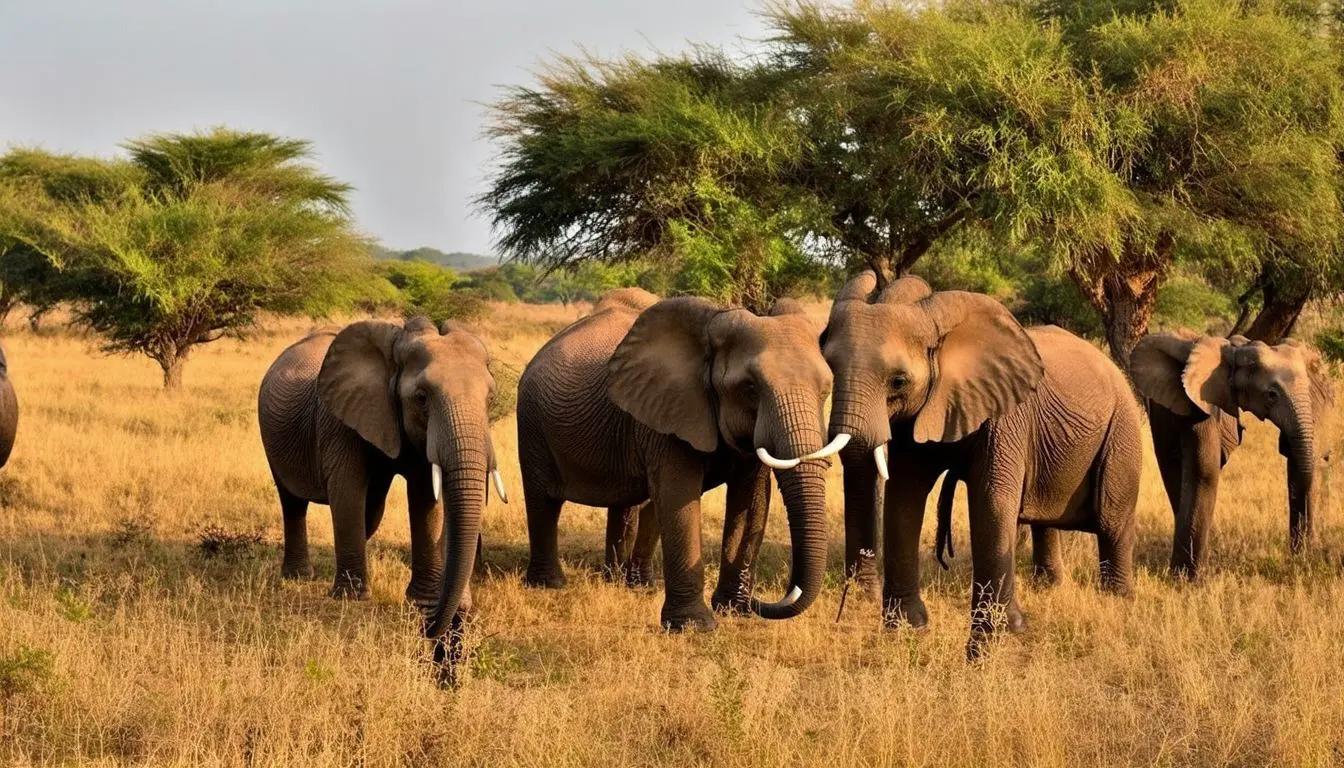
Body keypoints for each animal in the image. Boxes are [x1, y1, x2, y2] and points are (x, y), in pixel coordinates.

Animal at [255, 313, 505, 648]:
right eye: (421, 398)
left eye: (490, 398)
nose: (432, 630)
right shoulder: (340, 418)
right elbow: (347, 491)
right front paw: (351, 597)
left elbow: (425, 499)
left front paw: (422, 600)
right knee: (293, 502)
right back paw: (299, 576)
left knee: (371, 510)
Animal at [513, 287, 838, 632]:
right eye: (750, 388)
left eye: (825, 390)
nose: (760, 601)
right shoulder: (670, 410)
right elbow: (678, 495)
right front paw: (695, 626)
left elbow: (751, 500)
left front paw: (733, 611)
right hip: (531, 421)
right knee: (543, 500)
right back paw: (549, 584)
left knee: (633, 502)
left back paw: (630, 585)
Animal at [817, 273, 1145, 659]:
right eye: (829, 369)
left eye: (898, 381)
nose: (855, 598)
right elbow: (904, 496)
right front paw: (907, 631)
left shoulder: (1006, 413)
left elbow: (990, 501)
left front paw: (984, 646)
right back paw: (1044, 593)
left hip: (1122, 428)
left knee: (1111, 519)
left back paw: (1118, 602)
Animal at [1134, 330, 1333, 575]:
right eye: (1271, 395)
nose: (1302, 555)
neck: (1236, 350)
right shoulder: (1190, 403)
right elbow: (1201, 470)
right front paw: (1188, 577)